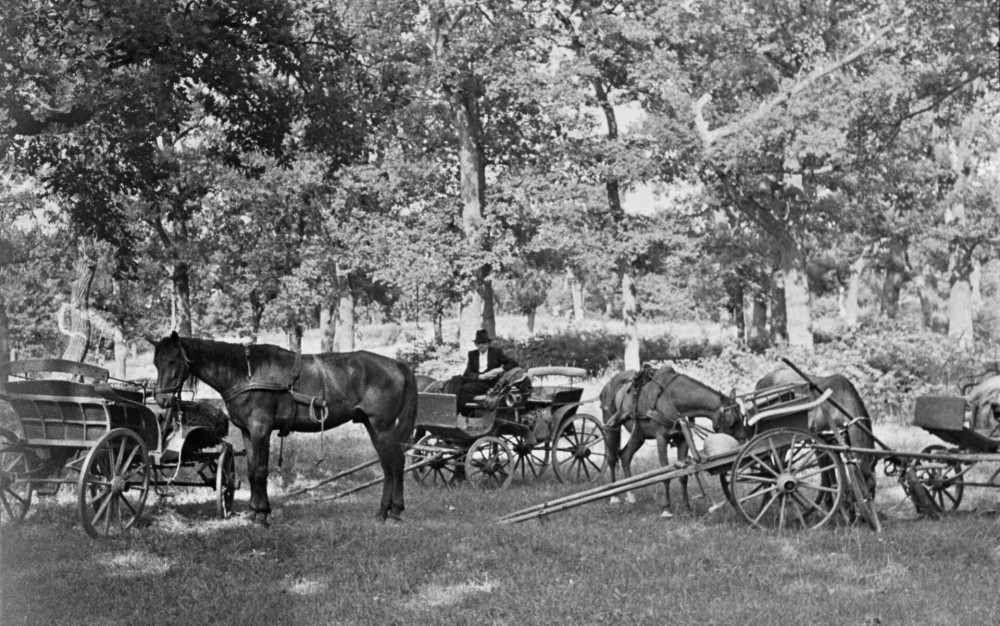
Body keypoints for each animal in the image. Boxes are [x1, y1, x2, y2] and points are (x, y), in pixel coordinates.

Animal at [150, 332, 416, 520]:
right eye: (155, 363)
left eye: (172, 360)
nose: (162, 400)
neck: (247, 373)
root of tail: (398, 365)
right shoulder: (247, 432)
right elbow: (252, 470)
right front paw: (256, 510)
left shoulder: (260, 429)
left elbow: (260, 470)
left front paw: (262, 514)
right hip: (373, 427)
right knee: (387, 466)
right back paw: (382, 511)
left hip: (382, 427)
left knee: (396, 463)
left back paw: (395, 511)